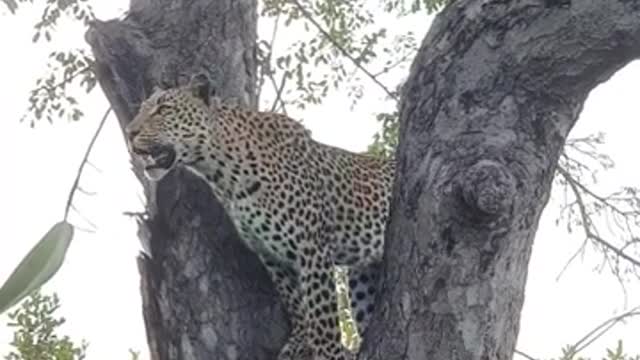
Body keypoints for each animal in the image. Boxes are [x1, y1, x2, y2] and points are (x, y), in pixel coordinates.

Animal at [124, 74, 392, 358]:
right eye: (142, 109)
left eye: (164, 109)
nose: (130, 134)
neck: (222, 174)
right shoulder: (270, 254)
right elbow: (294, 302)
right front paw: (298, 343)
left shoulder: (311, 249)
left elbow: (321, 313)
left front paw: (327, 352)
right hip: (362, 276)